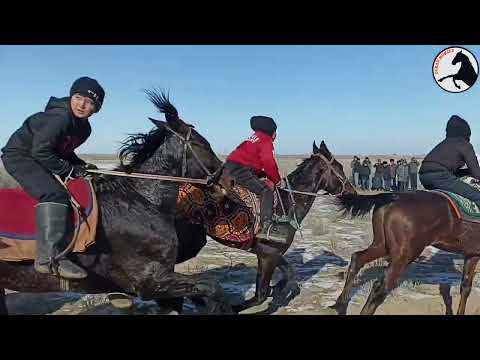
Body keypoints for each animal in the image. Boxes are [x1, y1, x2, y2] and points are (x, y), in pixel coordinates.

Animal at [332, 191, 480, 316]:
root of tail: (393, 197)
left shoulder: (472, 255)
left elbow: (465, 288)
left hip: (382, 245)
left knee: (357, 259)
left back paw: (340, 305)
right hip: (405, 255)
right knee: (380, 287)